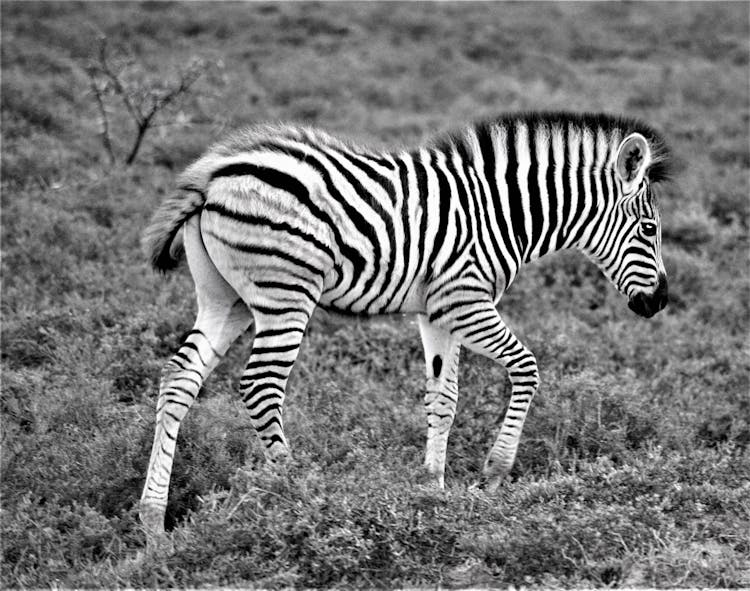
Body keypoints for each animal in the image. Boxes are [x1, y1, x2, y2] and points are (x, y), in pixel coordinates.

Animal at [140, 112, 676, 540]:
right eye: (649, 230)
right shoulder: (465, 299)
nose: (660, 302)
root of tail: (213, 177)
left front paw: (432, 490)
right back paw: (299, 490)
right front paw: (494, 473)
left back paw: (154, 524)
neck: (505, 214)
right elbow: (526, 368)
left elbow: (443, 399)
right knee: (260, 387)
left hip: (223, 298)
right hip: (284, 294)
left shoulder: (436, 312)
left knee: (179, 378)